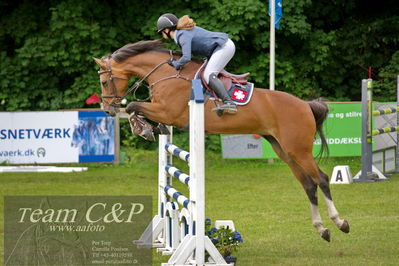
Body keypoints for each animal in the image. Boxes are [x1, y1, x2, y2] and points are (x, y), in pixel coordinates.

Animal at [94, 39, 350, 241]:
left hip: (299, 150)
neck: (166, 74)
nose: (108, 109)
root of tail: (305, 105)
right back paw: (322, 230)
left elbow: (134, 106)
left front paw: (142, 128)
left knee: (322, 179)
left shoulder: (168, 112)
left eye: (105, 82)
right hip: (284, 151)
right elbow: (140, 111)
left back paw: (340, 223)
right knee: (308, 184)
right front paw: (149, 129)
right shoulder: (163, 113)